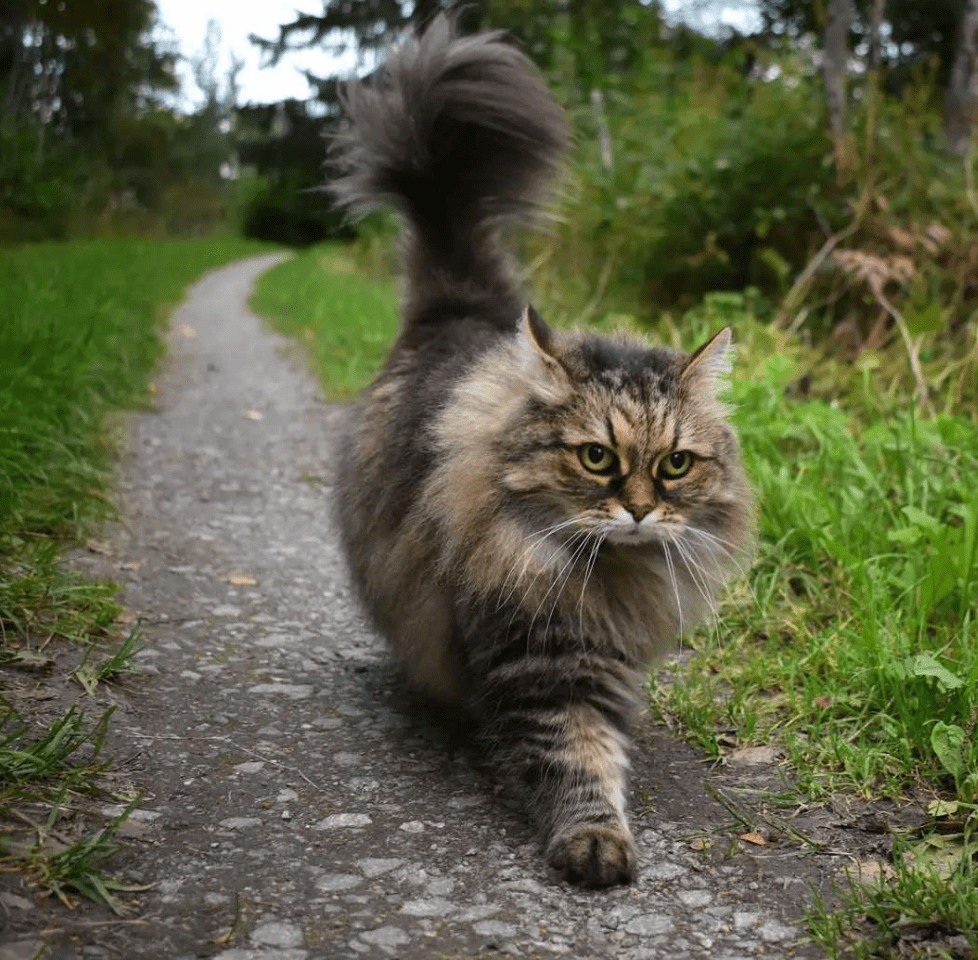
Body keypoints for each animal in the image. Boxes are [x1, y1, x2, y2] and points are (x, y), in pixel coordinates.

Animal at [328, 13, 756, 884]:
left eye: (674, 465)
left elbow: (601, 746)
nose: (639, 511)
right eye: (596, 459)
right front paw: (595, 843)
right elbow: (577, 757)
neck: (612, 578)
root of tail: (456, 312)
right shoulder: (541, 663)